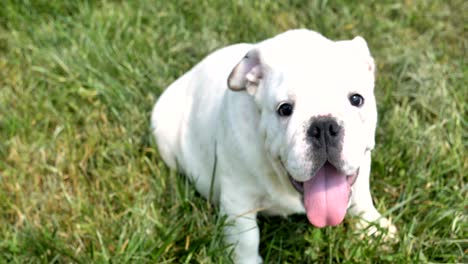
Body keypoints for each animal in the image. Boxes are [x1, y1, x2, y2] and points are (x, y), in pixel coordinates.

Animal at [152, 29, 396, 262]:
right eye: (284, 109)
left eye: (357, 99)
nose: (324, 126)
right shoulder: (238, 199)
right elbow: (245, 239)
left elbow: (361, 196)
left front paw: (374, 228)